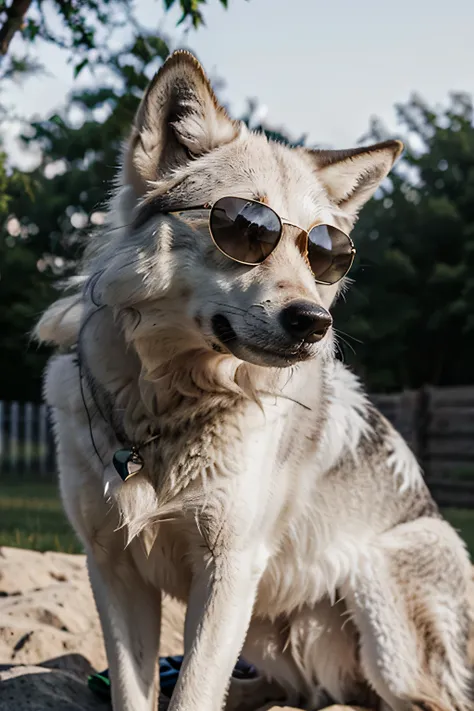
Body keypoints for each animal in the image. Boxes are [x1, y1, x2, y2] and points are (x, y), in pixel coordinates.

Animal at [37, 51, 474, 711]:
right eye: (247, 227)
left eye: (326, 251)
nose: (314, 322)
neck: (165, 411)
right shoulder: (112, 568)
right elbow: (138, 694)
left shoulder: (229, 570)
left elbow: (193, 694)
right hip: (270, 634)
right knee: (301, 692)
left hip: (381, 618)